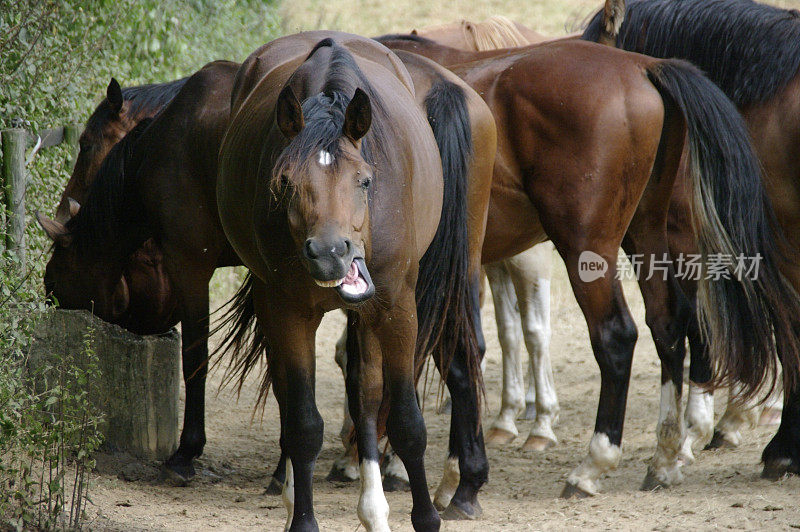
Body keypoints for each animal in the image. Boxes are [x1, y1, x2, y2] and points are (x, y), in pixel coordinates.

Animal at [217, 31, 494, 528]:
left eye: (365, 181)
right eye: (285, 183)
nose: (331, 254)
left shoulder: (397, 307)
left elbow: (405, 420)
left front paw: (424, 517)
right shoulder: (286, 312)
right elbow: (303, 422)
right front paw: (303, 517)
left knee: (368, 389)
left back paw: (375, 504)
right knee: (298, 395)